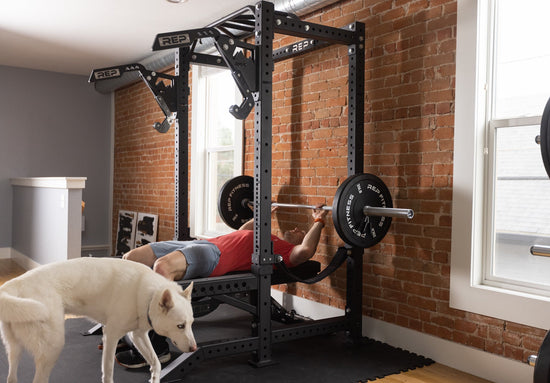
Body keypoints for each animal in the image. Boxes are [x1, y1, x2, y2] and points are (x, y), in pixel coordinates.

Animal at [0, 258, 197, 383]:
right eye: (180, 326)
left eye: (191, 324)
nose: (194, 349)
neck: (147, 294)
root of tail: (12, 286)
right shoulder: (111, 335)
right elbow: (108, 371)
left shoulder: (138, 335)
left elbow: (156, 363)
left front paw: (154, 378)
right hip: (52, 348)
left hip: (15, 350)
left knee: (11, 378)